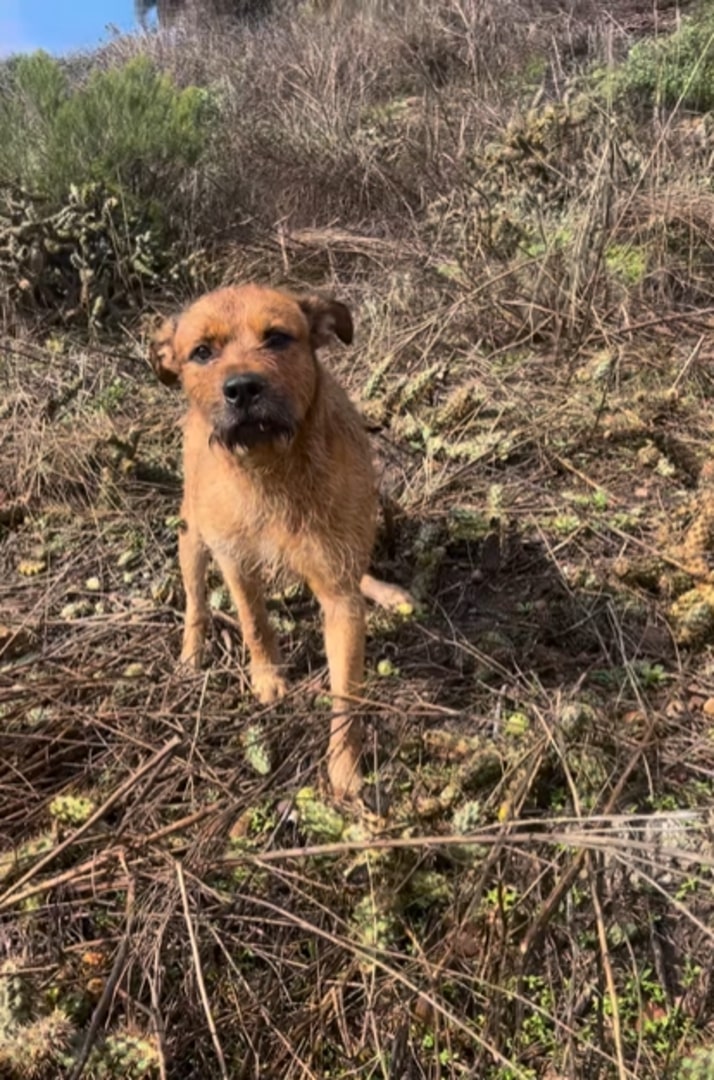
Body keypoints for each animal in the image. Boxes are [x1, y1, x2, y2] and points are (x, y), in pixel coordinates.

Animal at [152, 282, 412, 799]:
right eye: (203, 352)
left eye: (276, 338)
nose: (242, 388)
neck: (270, 467)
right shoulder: (236, 563)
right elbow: (254, 622)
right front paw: (268, 677)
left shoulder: (339, 595)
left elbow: (346, 692)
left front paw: (344, 766)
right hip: (193, 539)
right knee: (196, 601)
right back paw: (192, 655)